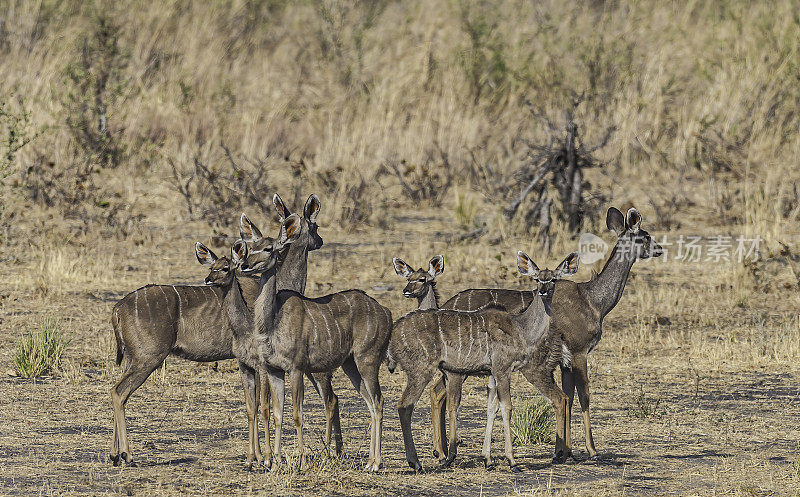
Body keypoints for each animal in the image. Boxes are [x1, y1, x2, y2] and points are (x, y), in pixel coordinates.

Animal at [108, 194, 322, 464]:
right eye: (315, 225)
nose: (320, 240)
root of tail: (118, 308)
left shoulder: (247, 362)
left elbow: (251, 405)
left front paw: (254, 456)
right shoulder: (259, 361)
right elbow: (263, 405)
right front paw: (262, 457)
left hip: (131, 358)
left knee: (118, 391)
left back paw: (115, 454)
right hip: (148, 358)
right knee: (119, 392)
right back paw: (127, 454)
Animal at [233, 215, 392, 470]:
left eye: (268, 248)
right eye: (251, 247)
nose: (245, 265)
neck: (273, 321)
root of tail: (386, 312)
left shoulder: (296, 368)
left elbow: (297, 415)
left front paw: (301, 462)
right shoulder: (274, 370)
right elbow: (278, 413)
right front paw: (275, 462)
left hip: (368, 359)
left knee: (378, 400)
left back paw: (376, 463)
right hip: (350, 365)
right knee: (369, 402)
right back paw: (368, 462)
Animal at [386, 250, 576, 470]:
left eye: (553, 279)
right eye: (537, 278)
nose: (544, 291)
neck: (521, 327)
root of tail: (393, 332)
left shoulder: (491, 373)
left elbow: (491, 408)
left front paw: (487, 458)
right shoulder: (500, 370)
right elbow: (505, 407)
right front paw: (511, 460)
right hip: (421, 371)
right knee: (404, 405)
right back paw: (415, 462)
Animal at [434, 207, 660, 460]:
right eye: (644, 236)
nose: (659, 249)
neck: (593, 301)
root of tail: (445, 305)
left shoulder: (565, 361)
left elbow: (568, 397)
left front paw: (565, 450)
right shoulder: (579, 352)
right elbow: (583, 396)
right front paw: (590, 449)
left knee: (437, 391)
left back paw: (441, 450)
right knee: (440, 393)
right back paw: (444, 451)